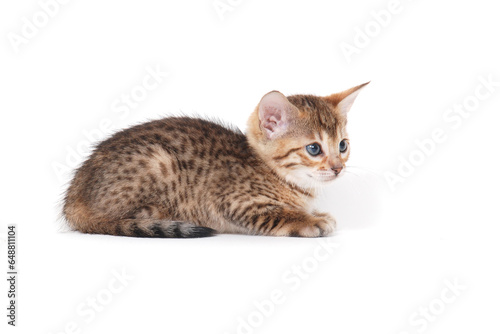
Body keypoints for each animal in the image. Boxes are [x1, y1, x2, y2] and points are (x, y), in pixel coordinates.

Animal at [62, 81, 368, 237]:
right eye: (314, 149)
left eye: (342, 145)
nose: (338, 168)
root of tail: (73, 198)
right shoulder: (234, 201)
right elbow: (278, 213)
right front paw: (309, 220)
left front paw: (314, 213)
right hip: (158, 161)